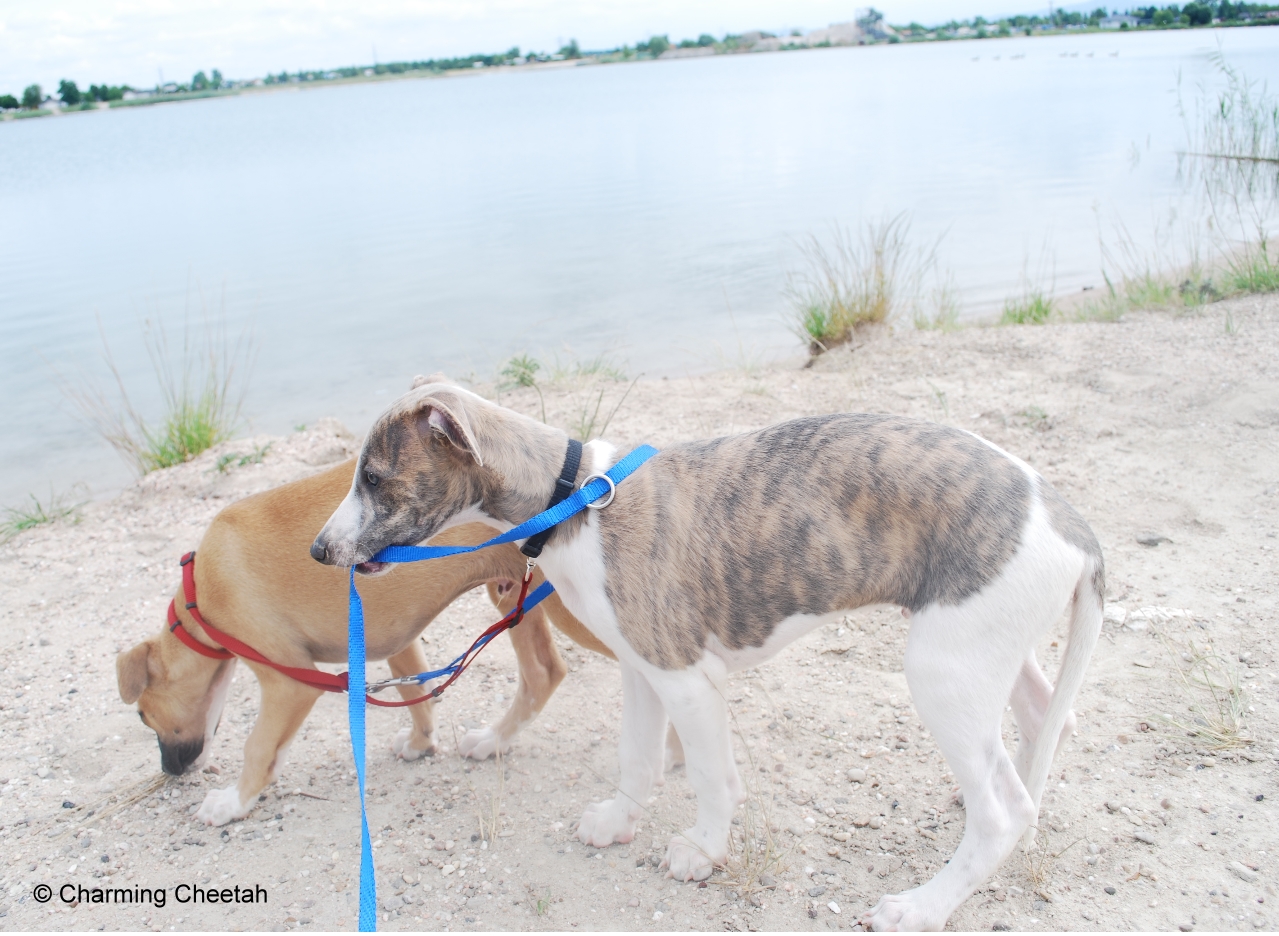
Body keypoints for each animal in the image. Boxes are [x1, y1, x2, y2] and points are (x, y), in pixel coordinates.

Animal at [115, 457, 608, 828]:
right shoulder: (396, 640)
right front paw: (421, 743)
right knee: (542, 673)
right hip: (513, 594)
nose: (170, 772)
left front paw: (233, 803)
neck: (199, 596)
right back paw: (492, 741)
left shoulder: (291, 685)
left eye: (141, 715)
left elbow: (257, 746)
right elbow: (416, 693)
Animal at [309, 375, 1099, 930]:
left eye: (373, 478)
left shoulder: (685, 679)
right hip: (977, 644)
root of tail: (1073, 525)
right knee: (1041, 724)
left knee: (1002, 811)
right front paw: (618, 821)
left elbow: (712, 778)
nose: (318, 552)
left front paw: (704, 851)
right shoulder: (640, 670)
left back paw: (925, 906)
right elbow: (635, 755)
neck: (573, 500)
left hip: (941, 670)